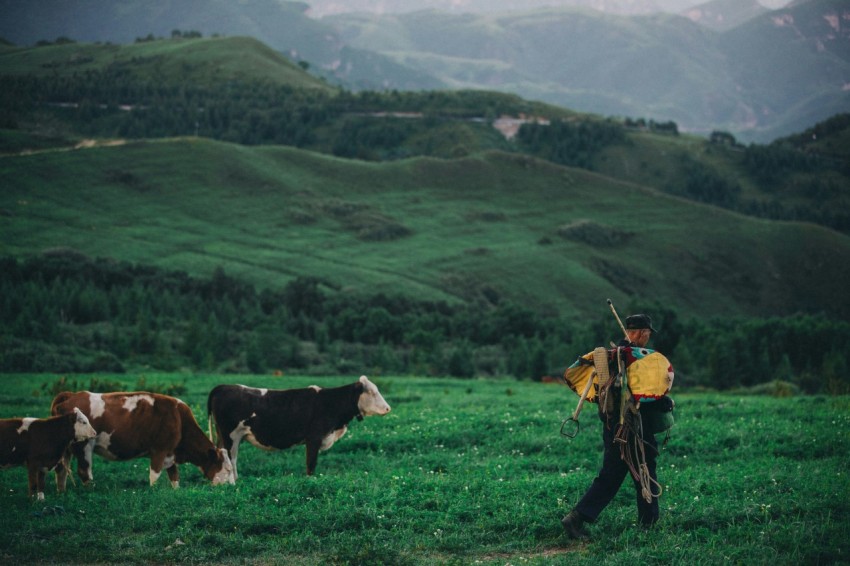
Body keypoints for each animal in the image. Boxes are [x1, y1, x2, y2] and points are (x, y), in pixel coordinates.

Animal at [51, 392, 234, 490]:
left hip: (65, 450)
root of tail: (71, 396)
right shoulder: (159, 452)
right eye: (227, 469)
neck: (179, 420)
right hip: (84, 447)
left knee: (60, 471)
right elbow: (154, 476)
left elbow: (174, 477)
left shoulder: (170, 454)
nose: (232, 487)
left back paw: (62, 492)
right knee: (84, 472)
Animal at [205, 374, 390, 482]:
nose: (388, 408)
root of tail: (223, 386)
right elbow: (311, 463)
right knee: (230, 457)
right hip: (230, 436)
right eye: (372, 392)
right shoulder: (314, 437)